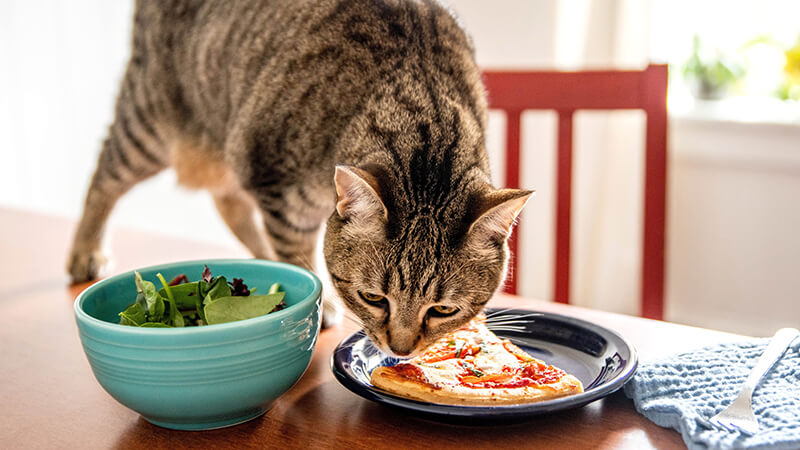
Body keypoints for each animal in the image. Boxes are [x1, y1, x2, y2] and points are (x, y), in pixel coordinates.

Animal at [69, 0, 532, 358]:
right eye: (373, 299)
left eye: (443, 310)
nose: (400, 351)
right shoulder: (281, 193)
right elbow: (297, 258)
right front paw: (319, 302)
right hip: (151, 121)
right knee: (105, 173)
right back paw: (85, 250)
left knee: (228, 203)